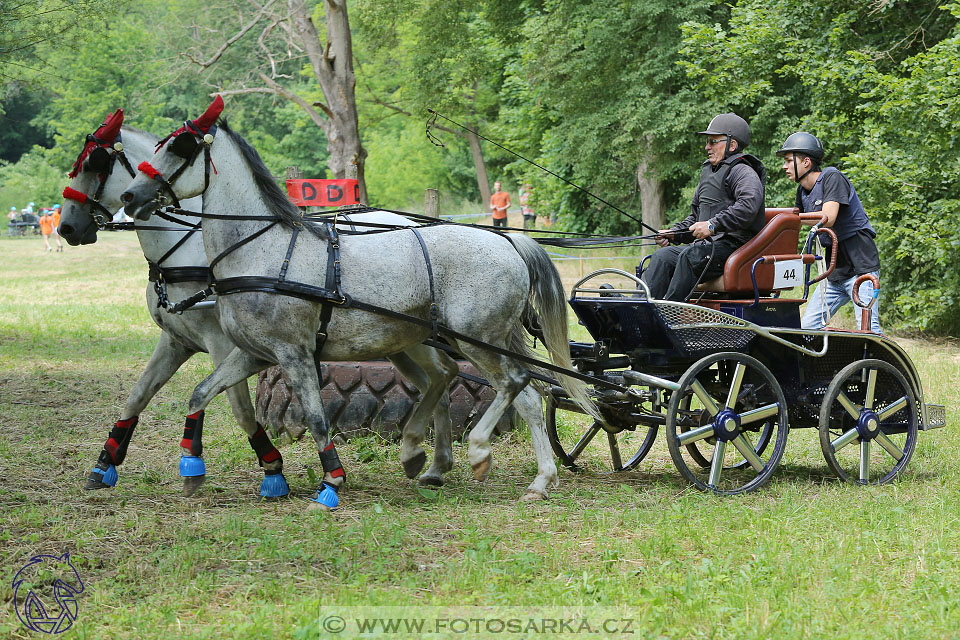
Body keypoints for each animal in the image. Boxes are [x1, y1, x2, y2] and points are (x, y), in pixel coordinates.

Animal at [120, 97, 600, 508]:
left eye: (179, 147)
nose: (129, 196)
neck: (261, 249)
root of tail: (507, 241)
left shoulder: (294, 353)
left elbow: (316, 418)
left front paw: (331, 482)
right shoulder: (256, 353)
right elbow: (201, 392)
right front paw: (192, 468)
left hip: (475, 338)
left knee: (514, 383)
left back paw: (478, 451)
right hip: (474, 339)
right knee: (528, 395)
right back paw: (535, 479)